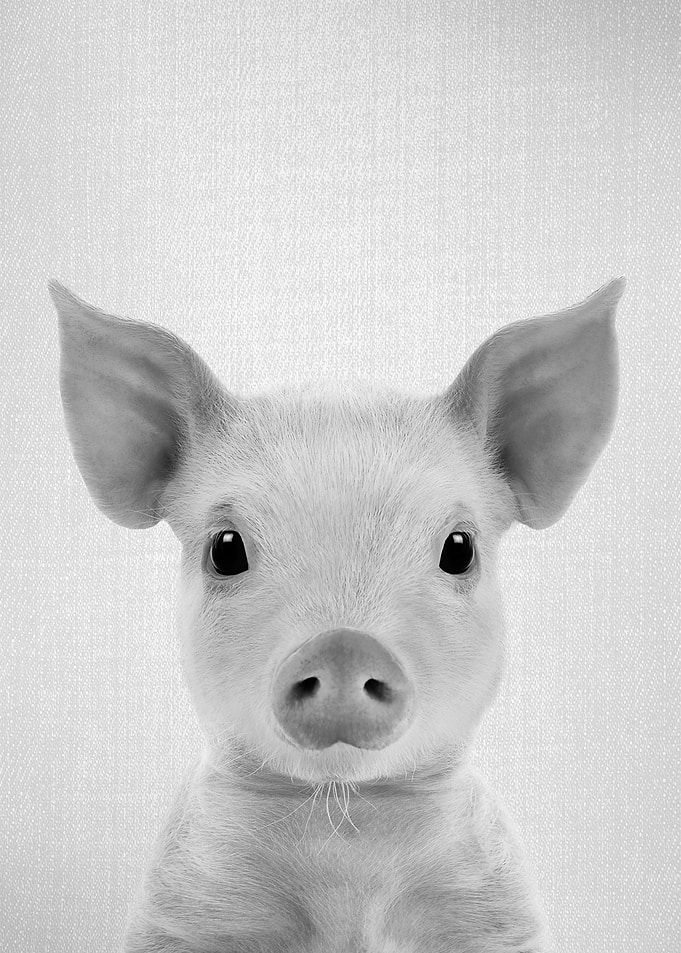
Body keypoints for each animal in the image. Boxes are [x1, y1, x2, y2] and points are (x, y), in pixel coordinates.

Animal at [51, 276, 625, 953]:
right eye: (226, 548)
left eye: (459, 548)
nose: (344, 646)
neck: (345, 830)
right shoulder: (179, 906)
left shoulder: (496, 910)